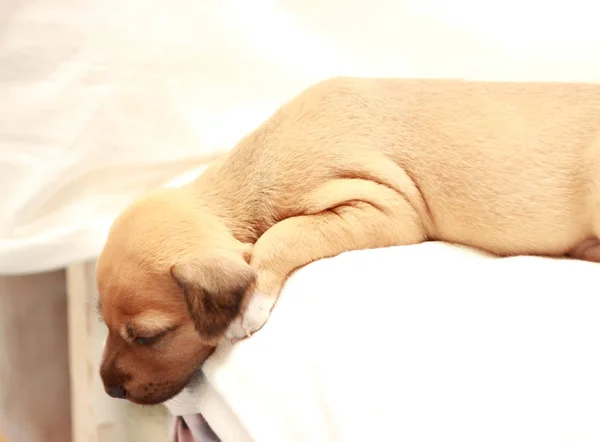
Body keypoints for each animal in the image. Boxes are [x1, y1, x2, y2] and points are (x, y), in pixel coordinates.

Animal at [97, 77, 600, 404]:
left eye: (150, 337)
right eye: (103, 323)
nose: (107, 388)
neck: (251, 175)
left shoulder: (384, 206)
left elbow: (283, 233)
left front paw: (249, 305)